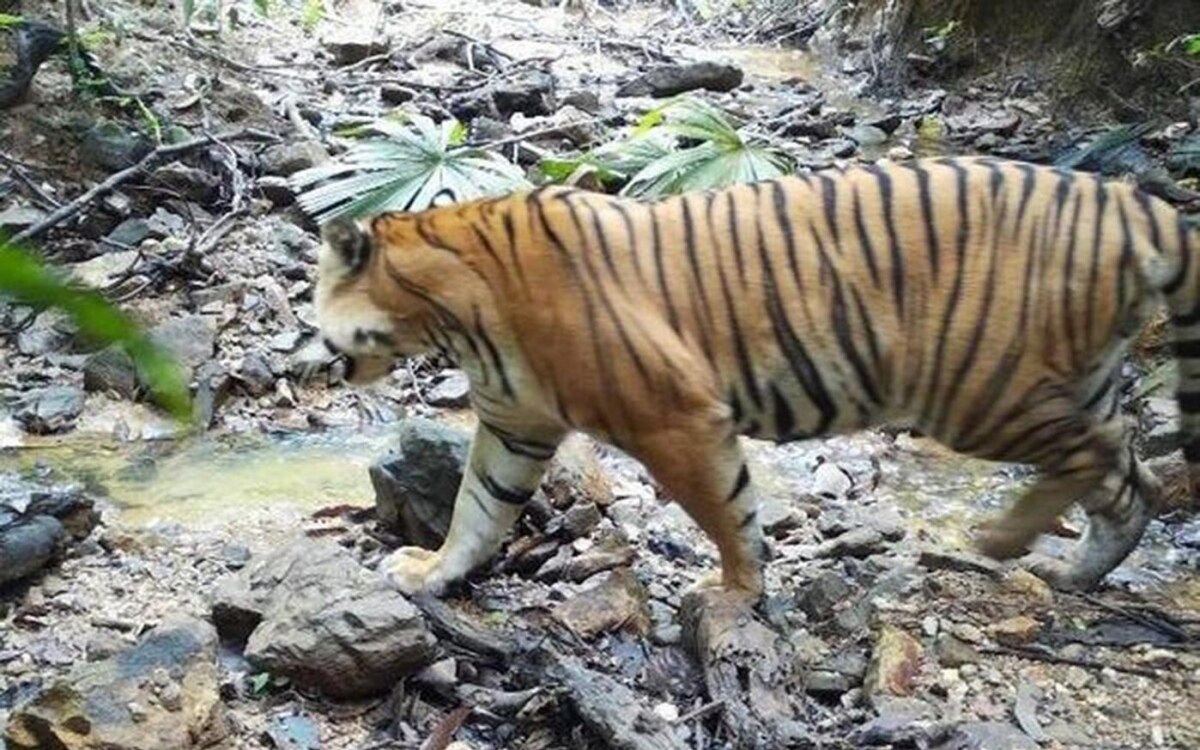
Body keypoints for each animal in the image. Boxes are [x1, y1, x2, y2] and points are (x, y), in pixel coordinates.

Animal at [312, 156, 1200, 597]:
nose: (319, 361)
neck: (449, 318)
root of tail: (1138, 204)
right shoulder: (513, 424)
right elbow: (478, 510)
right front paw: (432, 574)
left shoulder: (676, 418)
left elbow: (727, 512)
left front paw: (735, 592)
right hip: (1070, 382)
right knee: (1134, 481)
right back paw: (1073, 571)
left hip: (980, 387)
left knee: (1095, 459)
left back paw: (1004, 540)